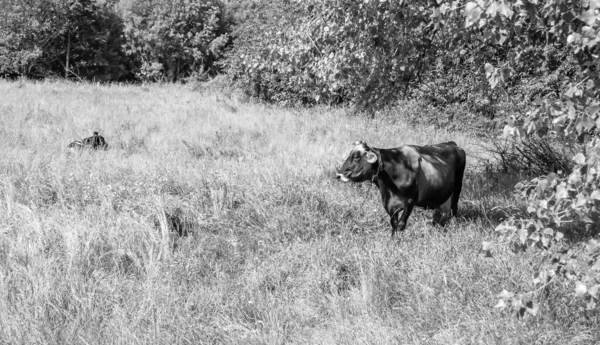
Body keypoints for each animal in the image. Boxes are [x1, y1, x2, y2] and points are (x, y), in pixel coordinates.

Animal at [336, 140, 466, 236]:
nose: (338, 175)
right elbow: (394, 224)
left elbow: (401, 225)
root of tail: (452, 144)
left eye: (356, 157)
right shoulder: (389, 204)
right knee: (439, 214)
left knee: (454, 209)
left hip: (457, 187)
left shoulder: (410, 201)